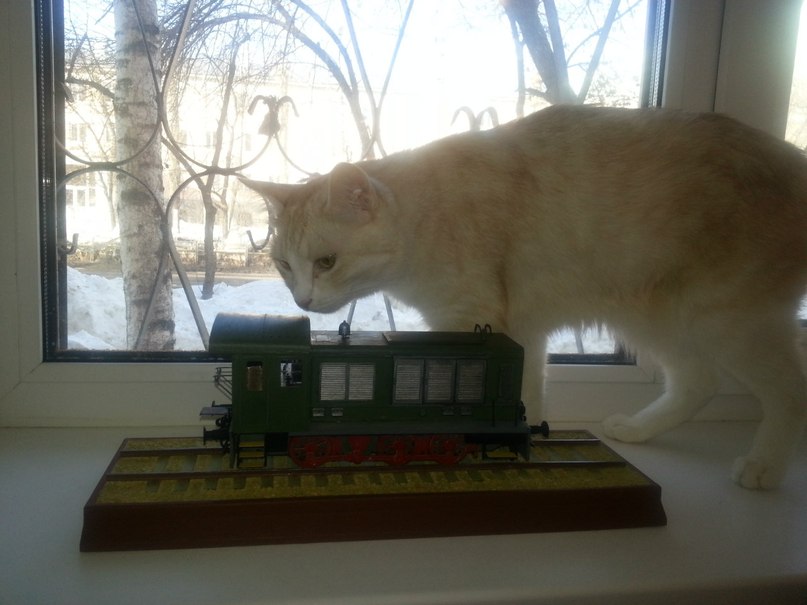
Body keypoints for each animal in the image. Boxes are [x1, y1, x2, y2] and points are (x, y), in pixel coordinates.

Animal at [243, 104, 807, 490]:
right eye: (284, 266)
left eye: (326, 262)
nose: (302, 302)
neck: (426, 215)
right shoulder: (520, 338)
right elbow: (525, 401)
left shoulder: (473, 321)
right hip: (658, 316)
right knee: (700, 381)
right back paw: (638, 429)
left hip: (721, 319)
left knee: (787, 388)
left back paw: (763, 465)